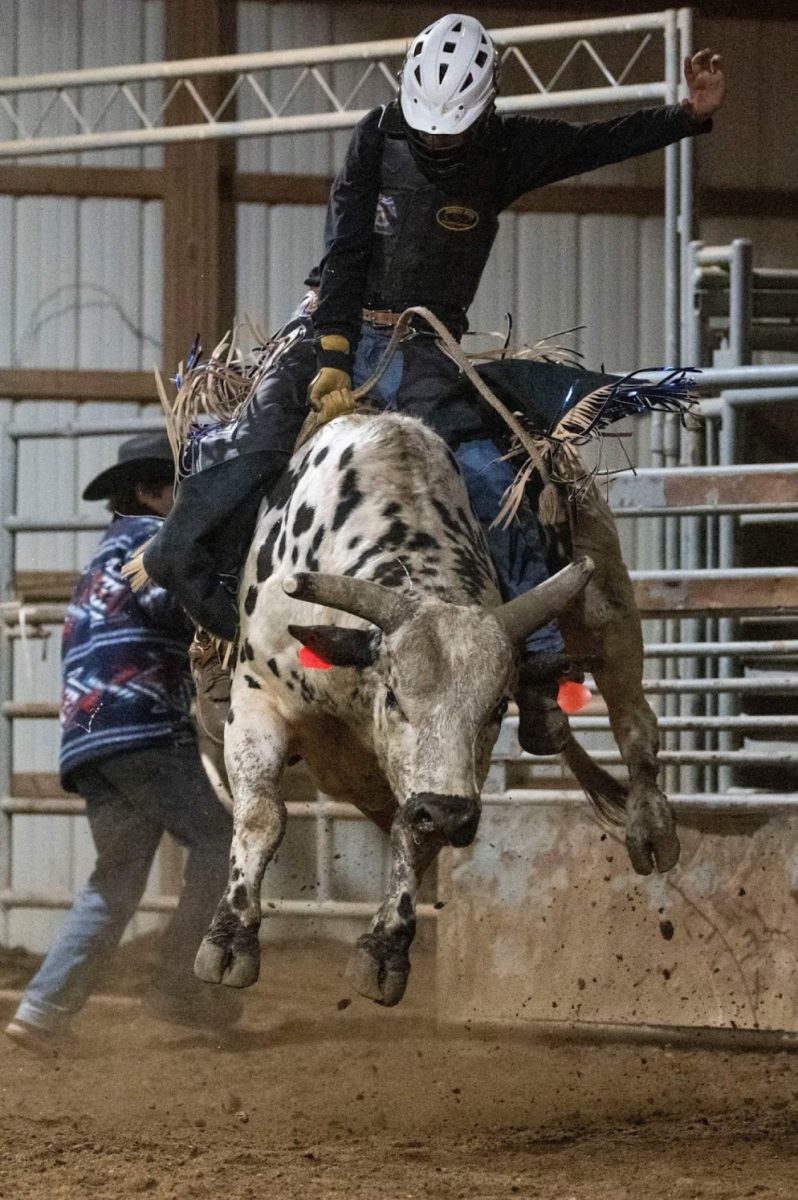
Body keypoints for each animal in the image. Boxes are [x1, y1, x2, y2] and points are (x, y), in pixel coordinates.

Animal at [194, 408, 676, 1008]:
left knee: (633, 717)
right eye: (395, 696)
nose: (448, 812)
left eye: (495, 709)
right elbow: (262, 814)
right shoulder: (257, 695)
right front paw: (230, 938)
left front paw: (384, 950)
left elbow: (415, 833)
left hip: (606, 594)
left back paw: (651, 825)